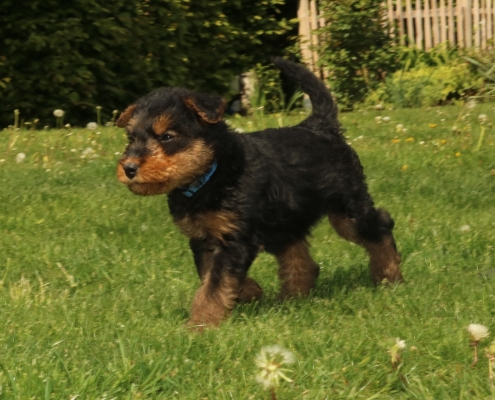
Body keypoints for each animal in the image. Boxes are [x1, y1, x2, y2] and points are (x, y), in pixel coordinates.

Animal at [117, 57, 404, 328]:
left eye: (167, 136)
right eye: (131, 138)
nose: (129, 168)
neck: (212, 174)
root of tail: (319, 126)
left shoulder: (235, 240)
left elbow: (214, 284)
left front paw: (200, 325)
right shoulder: (203, 239)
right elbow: (211, 276)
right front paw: (251, 292)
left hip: (347, 211)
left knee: (381, 227)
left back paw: (389, 275)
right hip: (285, 222)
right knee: (302, 261)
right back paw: (291, 299)